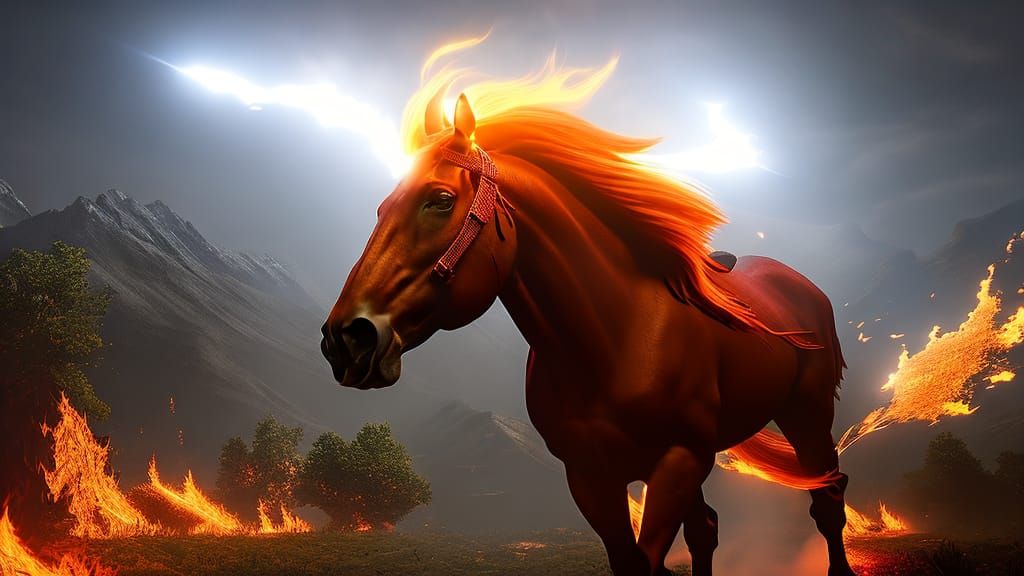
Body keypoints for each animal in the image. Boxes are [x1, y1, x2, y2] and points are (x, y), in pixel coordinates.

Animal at [321, 77, 855, 575]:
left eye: (440, 199)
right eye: (381, 207)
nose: (344, 340)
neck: (615, 338)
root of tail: (802, 284)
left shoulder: (678, 460)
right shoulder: (590, 474)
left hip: (806, 416)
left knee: (827, 500)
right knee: (707, 528)